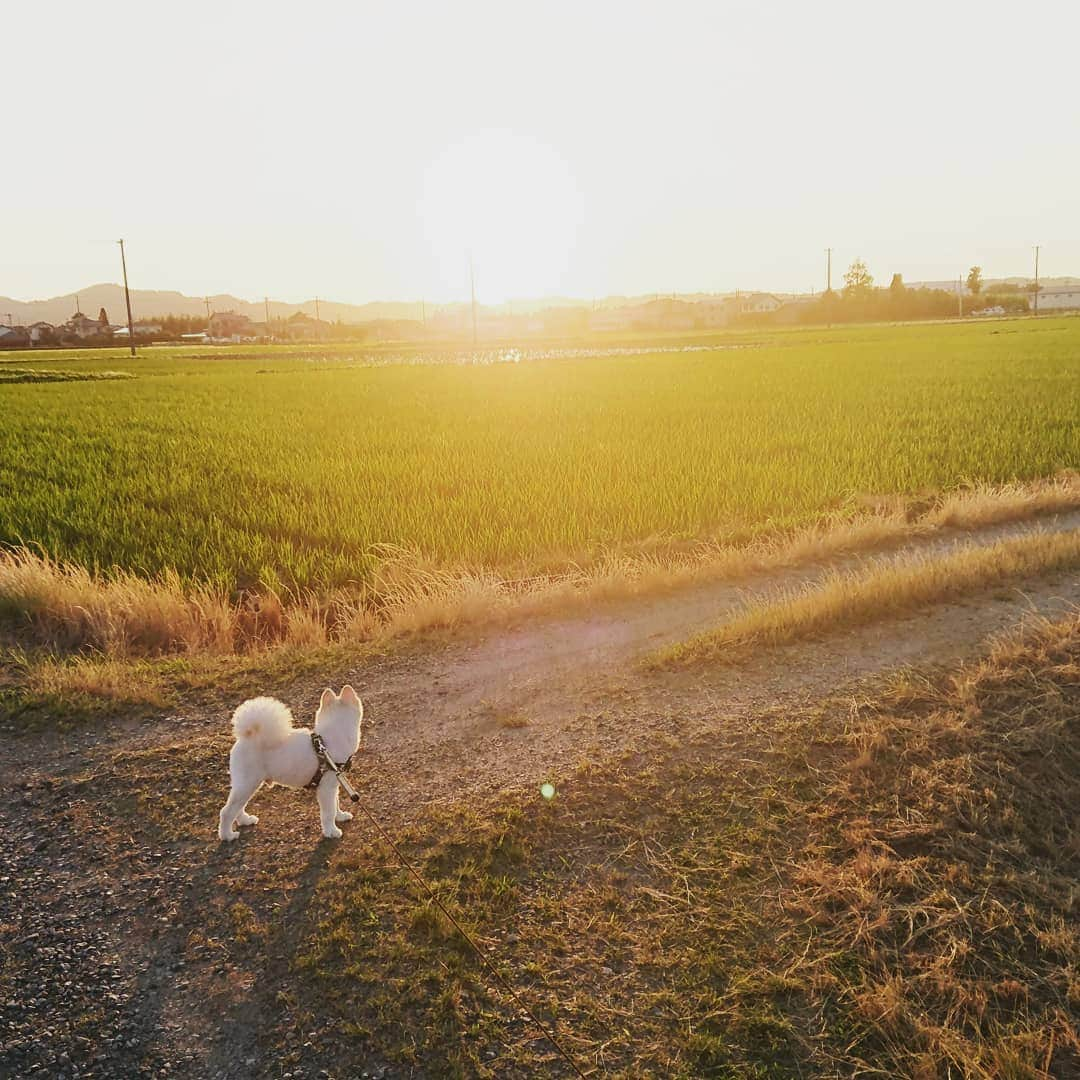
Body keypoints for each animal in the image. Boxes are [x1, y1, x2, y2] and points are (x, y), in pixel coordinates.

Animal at [218, 682, 362, 842]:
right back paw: (227, 835)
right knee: (227, 811)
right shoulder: (326, 787)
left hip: (247, 785)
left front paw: (341, 816)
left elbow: (336, 804)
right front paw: (331, 831)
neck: (329, 741)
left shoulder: (334, 783)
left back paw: (245, 820)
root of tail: (247, 737)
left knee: (238, 808)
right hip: (247, 784)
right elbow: (328, 812)